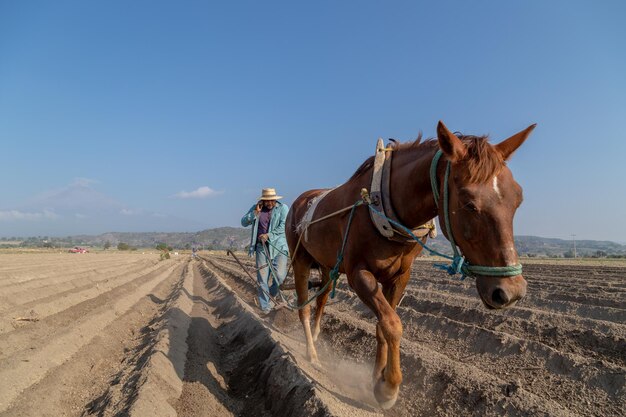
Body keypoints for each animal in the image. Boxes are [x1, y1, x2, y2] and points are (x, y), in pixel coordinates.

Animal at [286, 120, 532, 406]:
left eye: (518, 199)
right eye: (469, 204)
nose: (511, 292)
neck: (386, 205)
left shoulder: (401, 275)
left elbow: (382, 325)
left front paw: (377, 379)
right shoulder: (359, 273)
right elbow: (392, 325)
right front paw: (389, 388)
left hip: (327, 265)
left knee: (322, 300)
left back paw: (316, 336)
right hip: (300, 259)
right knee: (303, 306)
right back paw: (311, 352)